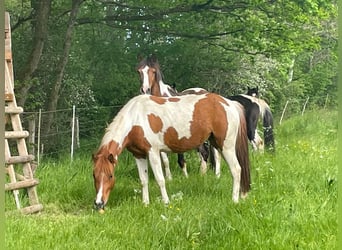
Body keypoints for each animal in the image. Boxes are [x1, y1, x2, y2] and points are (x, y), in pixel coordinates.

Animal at [92, 93, 250, 209]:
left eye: (110, 175)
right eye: (94, 175)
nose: (99, 203)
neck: (136, 119)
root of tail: (229, 103)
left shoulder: (153, 152)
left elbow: (160, 179)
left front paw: (166, 202)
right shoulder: (139, 155)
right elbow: (143, 180)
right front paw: (145, 203)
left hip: (226, 146)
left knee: (236, 170)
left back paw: (234, 199)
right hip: (217, 144)